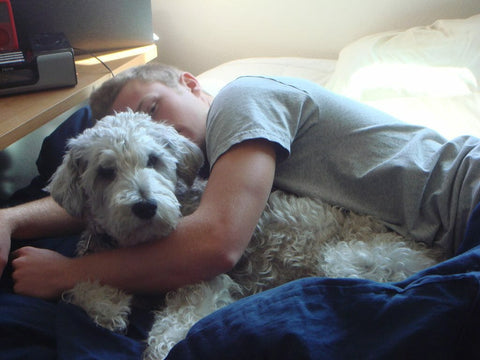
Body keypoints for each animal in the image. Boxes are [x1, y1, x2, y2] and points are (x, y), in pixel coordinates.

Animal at [47, 111, 440, 358]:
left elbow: (171, 328)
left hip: (345, 259)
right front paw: (107, 305)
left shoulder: (206, 282)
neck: (142, 246)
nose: (145, 206)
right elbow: (80, 281)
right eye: (106, 172)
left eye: (154, 160)